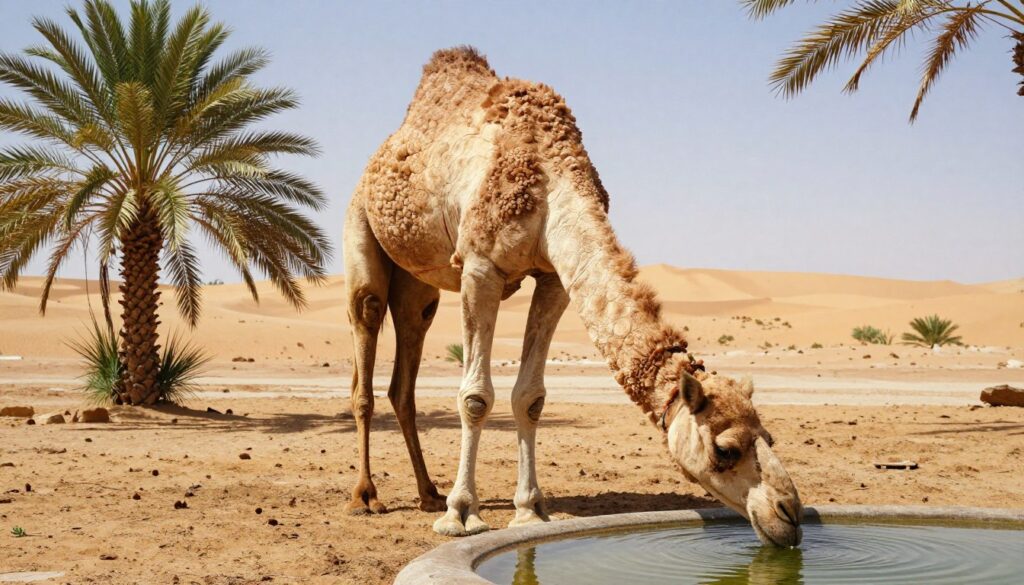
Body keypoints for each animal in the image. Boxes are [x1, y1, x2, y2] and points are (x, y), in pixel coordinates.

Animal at [342, 46, 803, 547]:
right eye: (726, 449)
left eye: (769, 437)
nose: (790, 514)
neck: (549, 174)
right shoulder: (481, 266)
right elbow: (475, 397)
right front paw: (462, 513)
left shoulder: (554, 278)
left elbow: (530, 397)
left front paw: (530, 511)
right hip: (360, 228)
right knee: (366, 334)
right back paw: (367, 497)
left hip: (418, 284)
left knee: (407, 360)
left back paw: (428, 492)